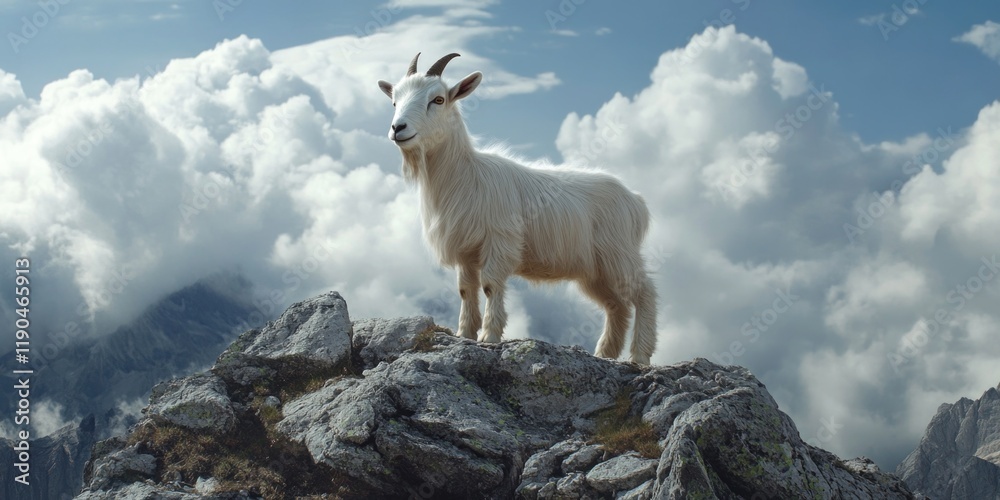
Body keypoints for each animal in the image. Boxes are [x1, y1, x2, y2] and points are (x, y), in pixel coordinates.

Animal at [377, 53, 658, 364]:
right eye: (394, 101)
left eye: (437, 99)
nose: (398, 128)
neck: (464, 174)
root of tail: (636, 201)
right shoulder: (466, 250)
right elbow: (465, 289)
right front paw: (465, 333)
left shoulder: (498, 241)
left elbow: (490, 285)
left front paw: (489, 336)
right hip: (595, 270)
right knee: (615, 305)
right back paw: (605, 353)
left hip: (619, 255)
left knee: (645, 294)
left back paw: (640, 356)